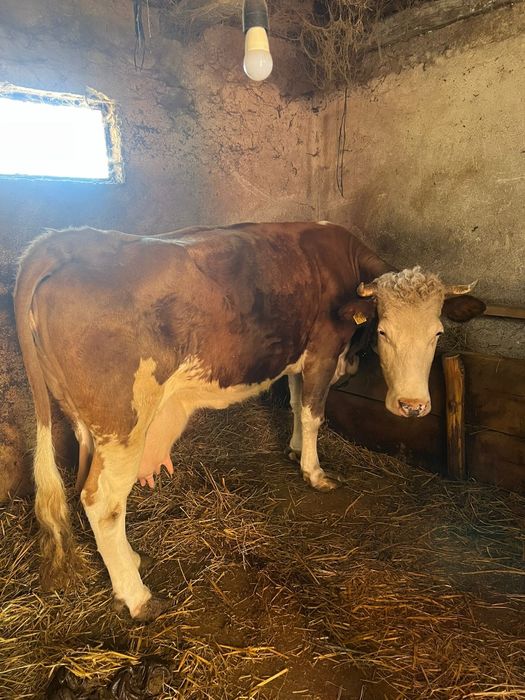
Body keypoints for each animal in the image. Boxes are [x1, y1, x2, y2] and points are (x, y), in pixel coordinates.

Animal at [14, 221, 482, 621]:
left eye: (437, 333)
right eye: (384, 331)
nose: (412, 406)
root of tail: (68, 240)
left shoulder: (298, 357)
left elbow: (295, 402)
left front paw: (294, 449)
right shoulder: (323, 350)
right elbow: (314, 412)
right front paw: (314, 472)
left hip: (86, 422)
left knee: (83, 484)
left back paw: (130, 560)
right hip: (122, 423)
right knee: (103, 500)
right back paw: (138, 597)